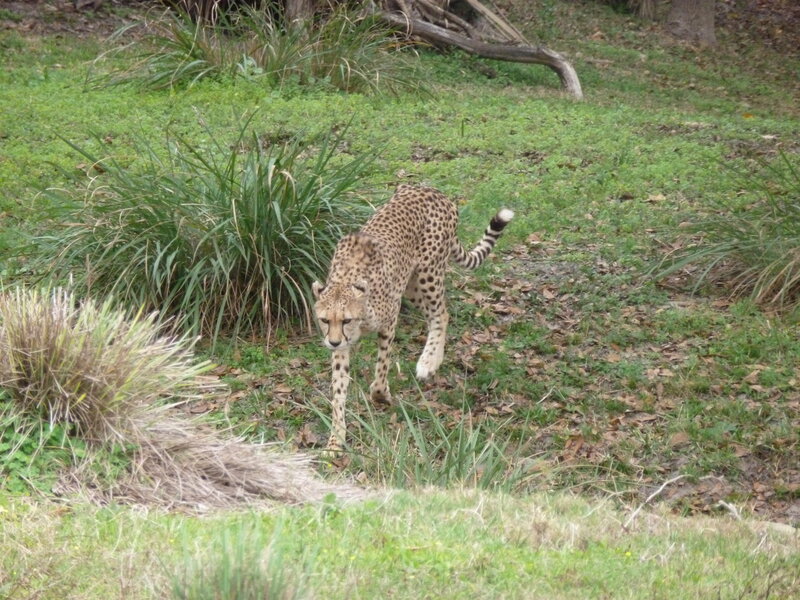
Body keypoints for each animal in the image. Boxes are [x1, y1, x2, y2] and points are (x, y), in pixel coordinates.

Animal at [312, 184, 514, 451]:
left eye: (346, 320)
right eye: (325, 320)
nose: (333, 342)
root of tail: (431, 189)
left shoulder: (389, 319)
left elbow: (382, 366)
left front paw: (380, 394)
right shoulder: (342, 345)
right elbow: (338, 390)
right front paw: (336, 439)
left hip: (429, 273)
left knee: (441, 313)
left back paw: (427, 362)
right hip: (411, 284)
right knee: (438, 315)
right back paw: (434, 360)